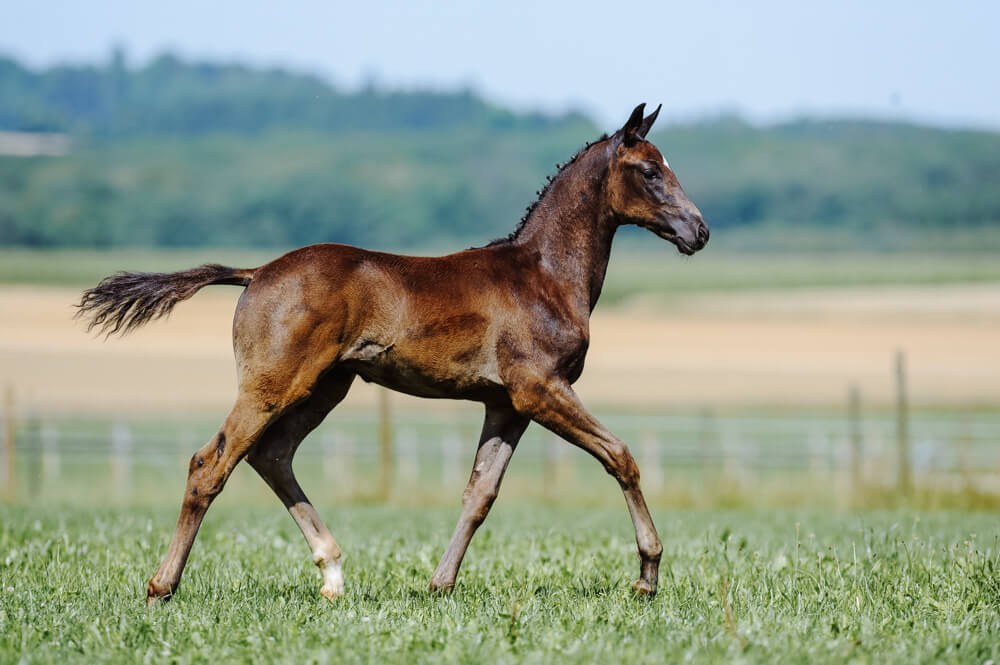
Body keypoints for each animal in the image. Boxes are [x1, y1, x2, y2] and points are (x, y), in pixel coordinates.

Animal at [78, 102, 712, 600]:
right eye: (650, 171)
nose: (699, 232)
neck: (545, 275)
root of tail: (255, 273)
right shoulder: (541, 389)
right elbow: (620, 456)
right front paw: (648, 575)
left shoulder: (506, 404)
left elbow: (481, 492)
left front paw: (440, 584)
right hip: (274, 384)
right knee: (210, 465)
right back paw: (162, 586)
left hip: (325, 387)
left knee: (272, 456)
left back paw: (332, 574)